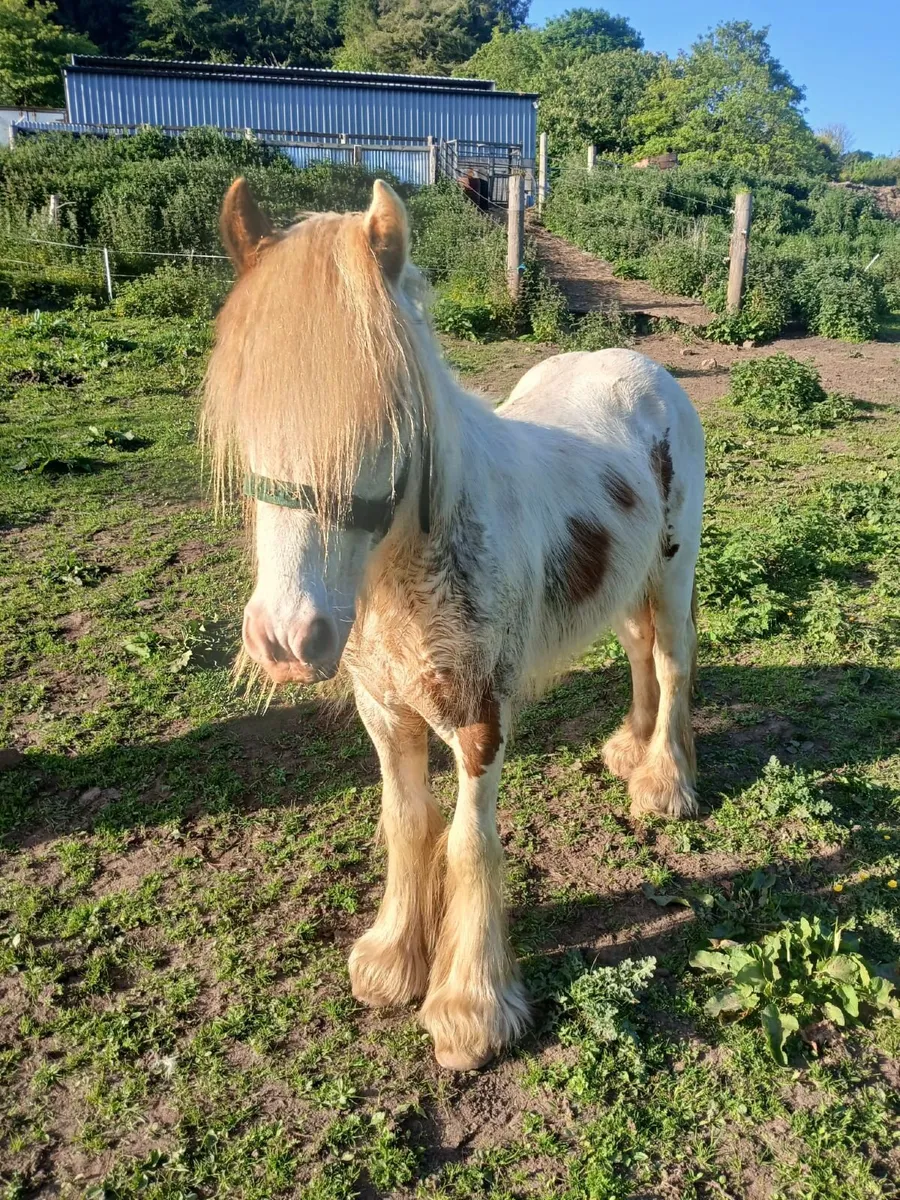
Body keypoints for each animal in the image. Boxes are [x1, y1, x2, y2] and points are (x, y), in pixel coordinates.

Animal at [202, 177, 705, 1071]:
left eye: (380, 423)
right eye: (252, 414)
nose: (288, 641)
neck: (401, 574)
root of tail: (639, 365)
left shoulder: (479, 720)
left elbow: (471, 844)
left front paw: (471, 1010)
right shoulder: (385, 713)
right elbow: (406, 824)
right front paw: (392, 962)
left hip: (672, 571)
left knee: (673, 660)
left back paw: (663, 784)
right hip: (622, 583)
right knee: (640, 653)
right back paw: (630, 748)